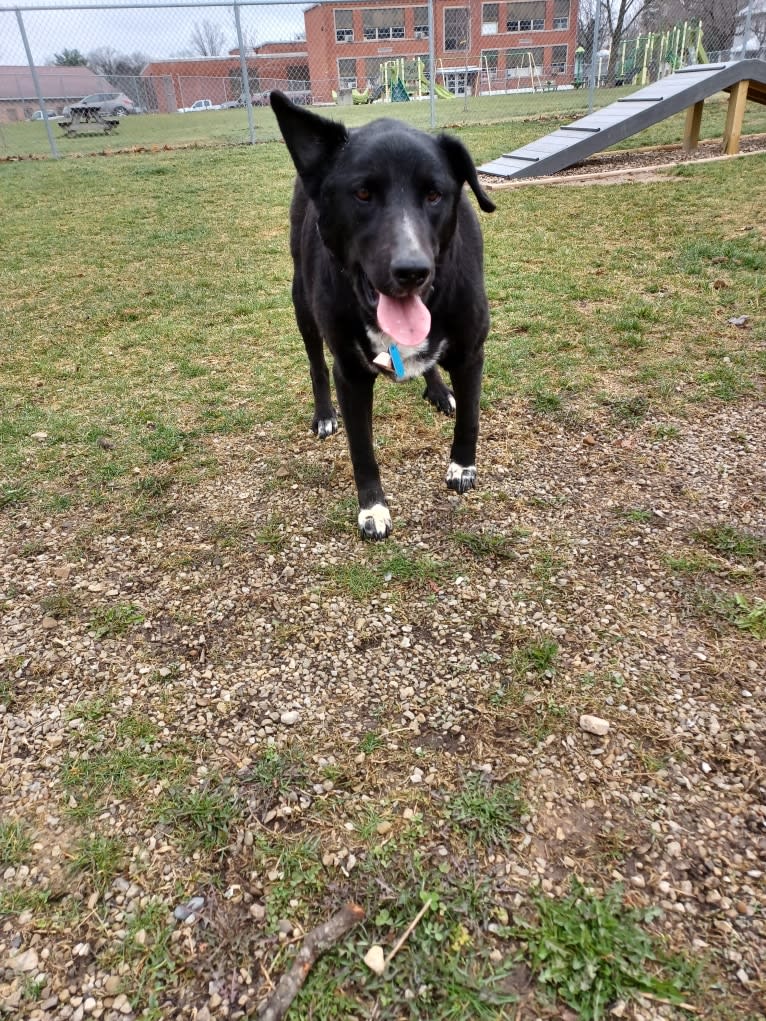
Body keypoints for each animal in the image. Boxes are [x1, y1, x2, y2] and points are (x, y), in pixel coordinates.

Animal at [271, 93, 498, 543]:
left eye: (435, 195)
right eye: (362, 193)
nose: (412, 270)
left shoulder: (471, 351)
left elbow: (470, 417)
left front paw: (462, 468)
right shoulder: (350, 374)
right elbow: (362, 449)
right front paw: (373, 509)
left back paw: (438, 389)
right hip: (301, 302)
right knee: (315, 363)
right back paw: (324, 414)